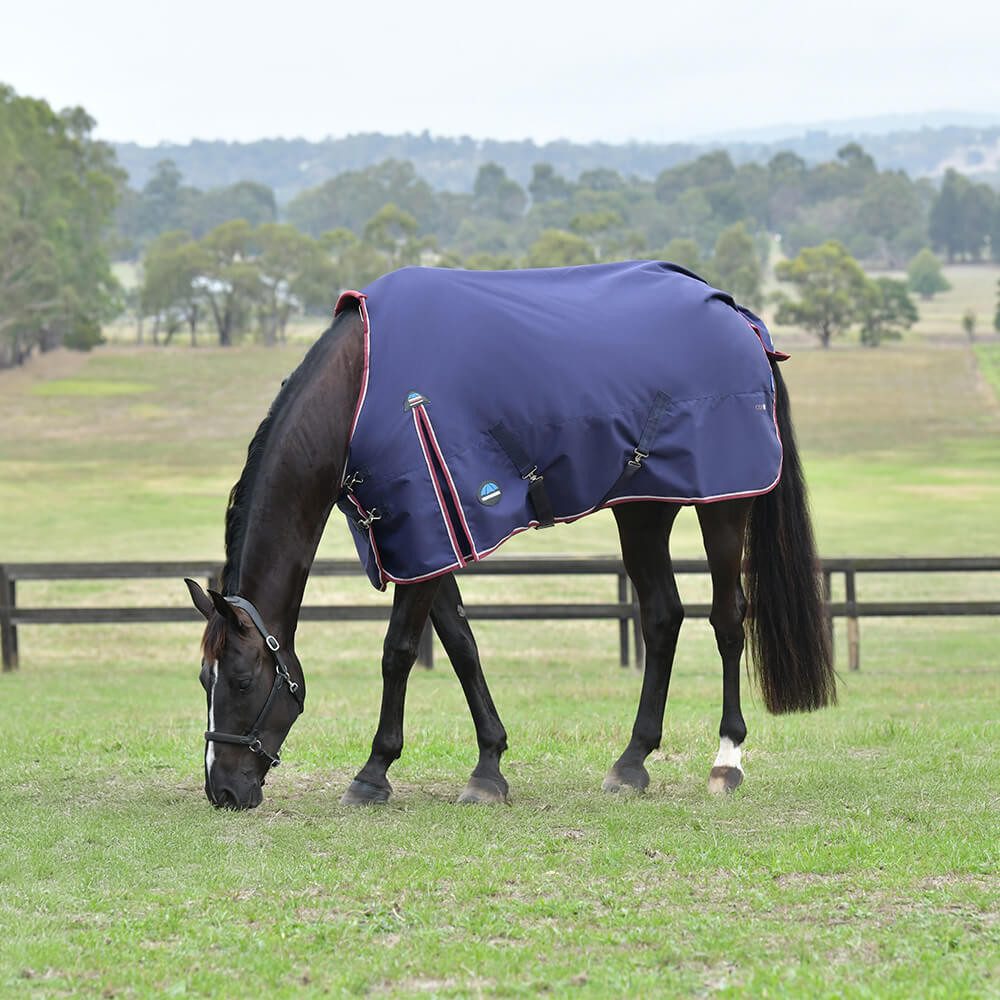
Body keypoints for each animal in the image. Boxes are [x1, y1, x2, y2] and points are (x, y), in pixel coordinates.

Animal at [185, 261, 835, 810]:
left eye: (241, 680)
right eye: (203, 680)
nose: (223, 791)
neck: (360, 389)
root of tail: (737, 316)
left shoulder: (425, 526)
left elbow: (398, 652)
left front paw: (372, 774)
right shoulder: (423, 539)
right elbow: (461, 646)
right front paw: (488, 767)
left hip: (723, 505)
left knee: (728, 617)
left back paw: (726, 761)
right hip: (643, 509)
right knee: (661, 617)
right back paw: (632, 763)